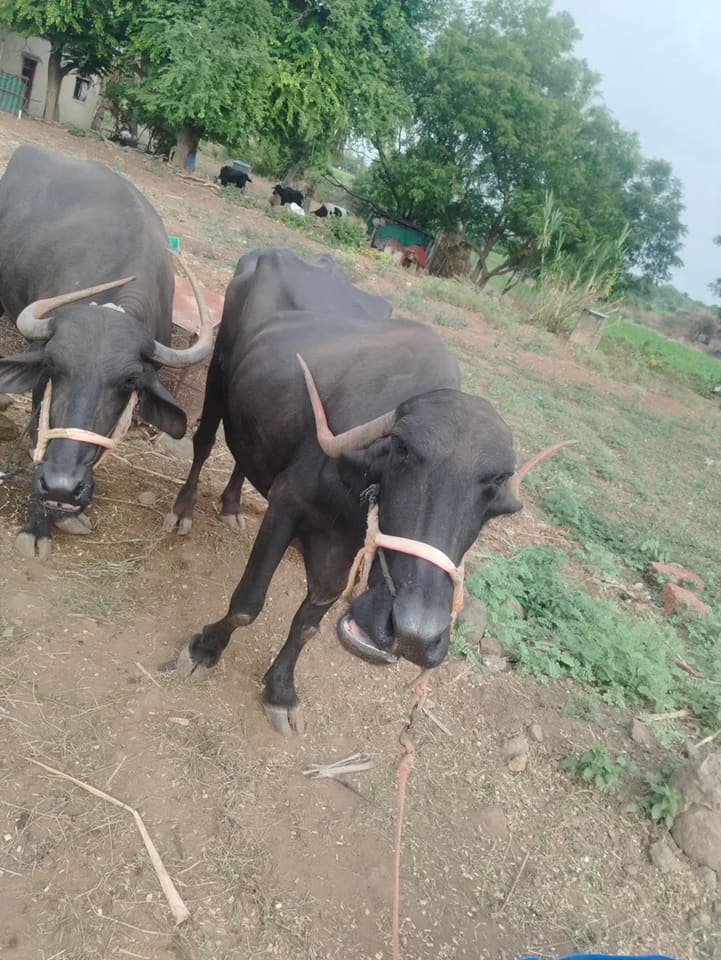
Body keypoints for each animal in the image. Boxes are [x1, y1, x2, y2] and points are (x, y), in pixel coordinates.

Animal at [0, 145, 214, 559]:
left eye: (129, 380)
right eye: (53, 366)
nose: (61, 486)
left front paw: (67, 513)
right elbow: (38, 435)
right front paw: (38, 526)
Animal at [165, 248, 568, 734]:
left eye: (493, 491)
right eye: (403, 449)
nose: (414, 635)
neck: (357, 484)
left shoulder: (345, 546)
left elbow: (308, 622)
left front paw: (280, 690)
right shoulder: (287, 505)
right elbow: (248, 602)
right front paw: (204, 648)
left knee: (245, 451)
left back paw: (230, 506)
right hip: (218, 372)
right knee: (206, 441)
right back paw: (183, 510)